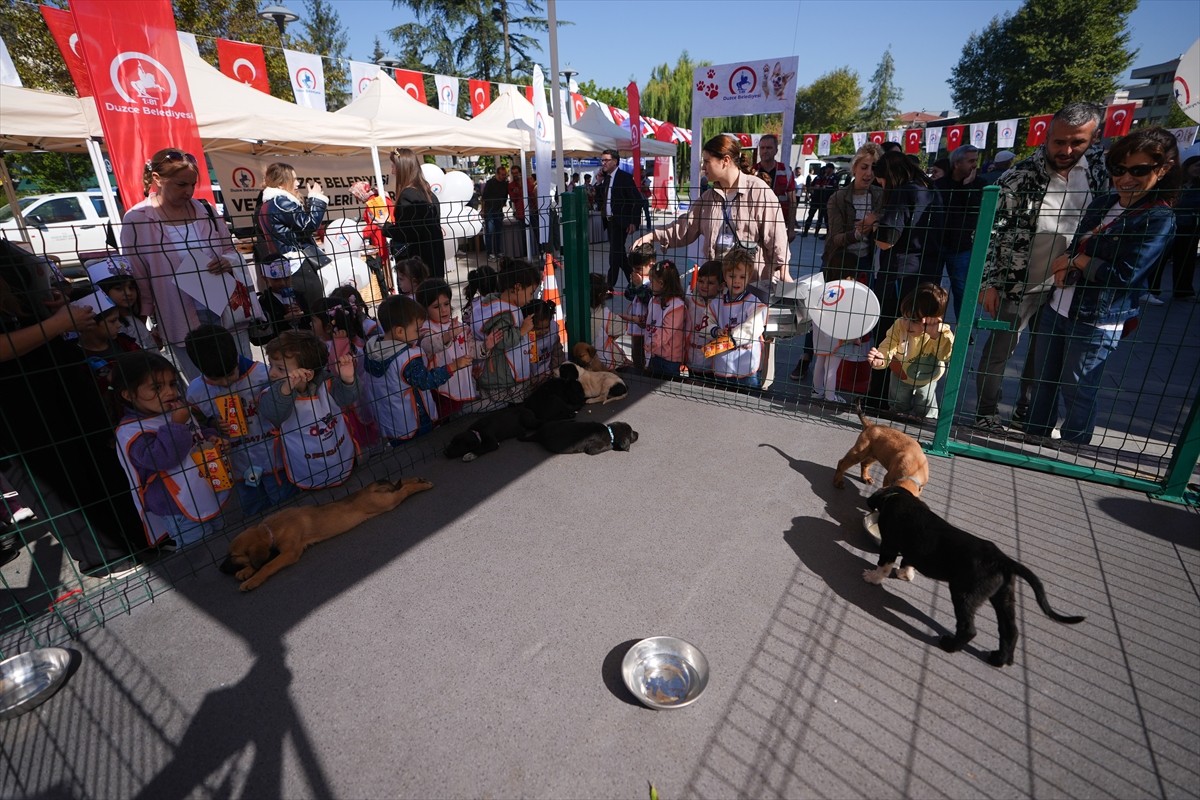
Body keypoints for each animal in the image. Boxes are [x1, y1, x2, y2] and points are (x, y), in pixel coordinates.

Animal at [220, 474, 432, 594]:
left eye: (233, 555)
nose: (221, 569)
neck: (270, 529)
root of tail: (368, 489)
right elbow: (263, 560)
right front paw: (246, 571)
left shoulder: (290, 553)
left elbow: (267, 565)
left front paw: (252, 580)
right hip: (384, 497)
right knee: (400, 482)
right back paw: (419, 479)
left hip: (386, 503)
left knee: (404, 490)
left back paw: (422, 486)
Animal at [864, 484, 1089, 666]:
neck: (896, 496)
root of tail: (1003, 560)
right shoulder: (910, 548)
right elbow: (908, 561)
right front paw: (905, 574)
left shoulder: (890, 543)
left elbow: (884, 564)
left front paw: (873, 578)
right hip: (1003, 597)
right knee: (1010, 630)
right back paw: (1000, 659)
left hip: (964, 594)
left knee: (969, 629)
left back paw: (949, 645)